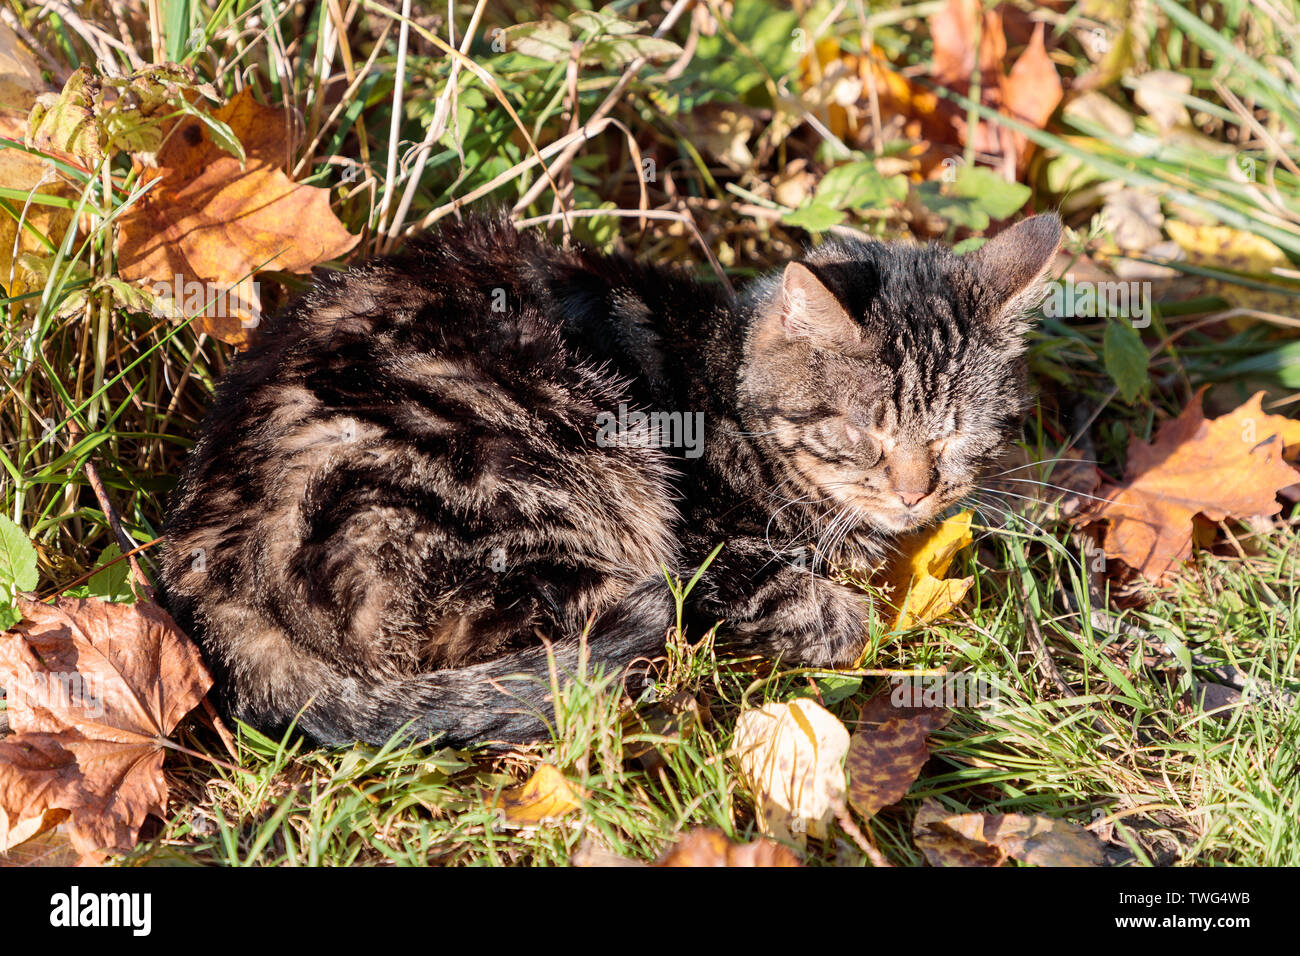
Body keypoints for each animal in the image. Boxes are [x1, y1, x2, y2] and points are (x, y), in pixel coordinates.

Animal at [157, 208, 1060, 749]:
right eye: (868, 430)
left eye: (955, 434)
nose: (918, 492)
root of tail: (210, 574)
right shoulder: (710, 547)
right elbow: (819, 605)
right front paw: (837, 605)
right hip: (541, 466)